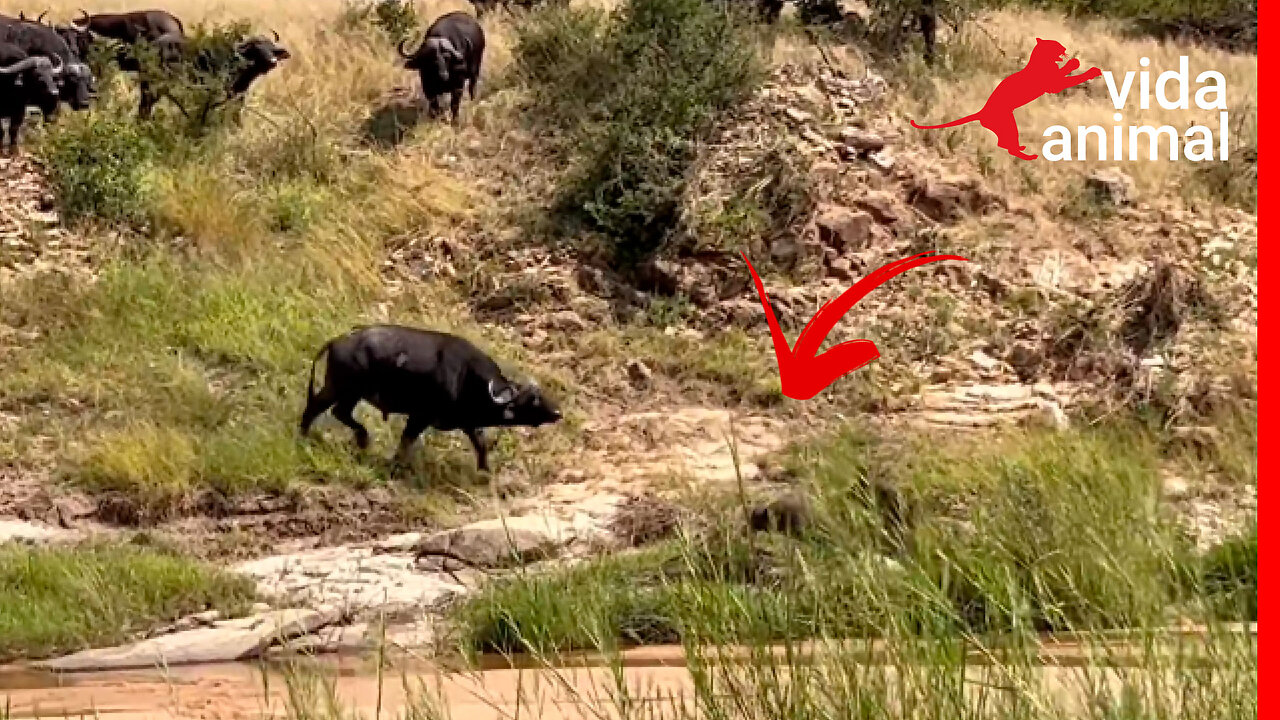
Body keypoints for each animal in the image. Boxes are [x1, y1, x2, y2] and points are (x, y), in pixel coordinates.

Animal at [302, 325, 563, 471]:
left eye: (541, 395)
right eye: (534, 400)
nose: (558, 413)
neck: (466, 378)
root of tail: (337, 342)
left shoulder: (469, 423)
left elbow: (481, 445)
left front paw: (485, 472)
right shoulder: (420, 416)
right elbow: (406, 440)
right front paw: (397, 464)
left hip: (349, 393)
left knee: (338, 412)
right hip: (341, 388)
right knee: (316, 408)